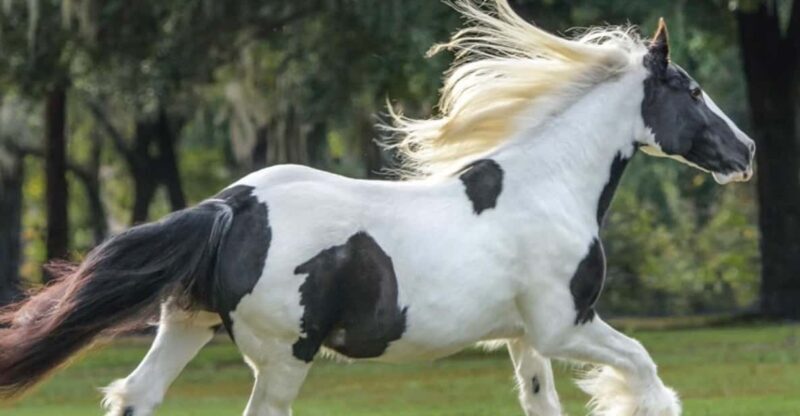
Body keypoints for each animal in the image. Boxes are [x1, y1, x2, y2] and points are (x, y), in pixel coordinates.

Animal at [0, 1, 755, 415]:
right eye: (691, 89)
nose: (746, 151)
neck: (548, 186)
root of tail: (231, 206)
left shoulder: (524, 339)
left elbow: (544, 403)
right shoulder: (566, 325)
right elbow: (643, 368)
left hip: (187, 325)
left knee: (136, 395)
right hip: (283, 357)